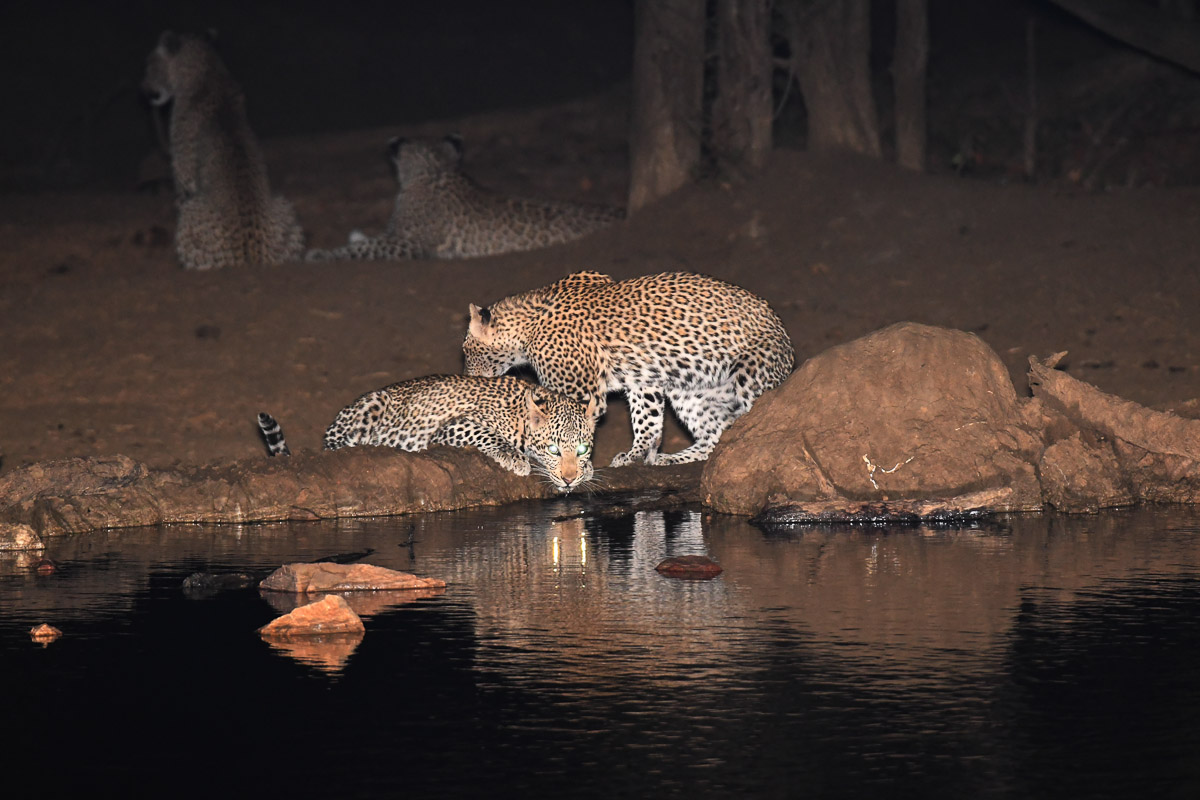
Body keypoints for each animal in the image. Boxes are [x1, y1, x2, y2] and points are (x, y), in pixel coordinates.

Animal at [142, 30, 304, 270]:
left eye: (150, 64)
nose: (143, 87)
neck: (207, 70)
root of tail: (252, 257)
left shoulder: (184, 177)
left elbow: (179, 198)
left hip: (192, 214)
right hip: (285, 207)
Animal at [257, 374, 597, 493]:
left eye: (581, 449)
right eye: (553, 450)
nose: (569, 480)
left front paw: (587, 470)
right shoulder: (453, 426)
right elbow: (488, 435)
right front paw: (514, 456)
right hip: (372, 404)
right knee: (336, 447)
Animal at [304, 135, 622, 262]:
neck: (435, 169)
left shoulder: (411, 244)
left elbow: (363, 249)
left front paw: (316, 254)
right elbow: (367, 240)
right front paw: (354, 236)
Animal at [463, 271, 795, 467]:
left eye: (466, 351)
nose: (467, 377)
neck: (525, 331)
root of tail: (784, 336)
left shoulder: (579, 391)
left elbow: (565, 427)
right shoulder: (644, 380)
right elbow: (647, 421)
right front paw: (637, 454)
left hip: (751, 376)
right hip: (691, 392)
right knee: (713, 436)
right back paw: (671, 458)